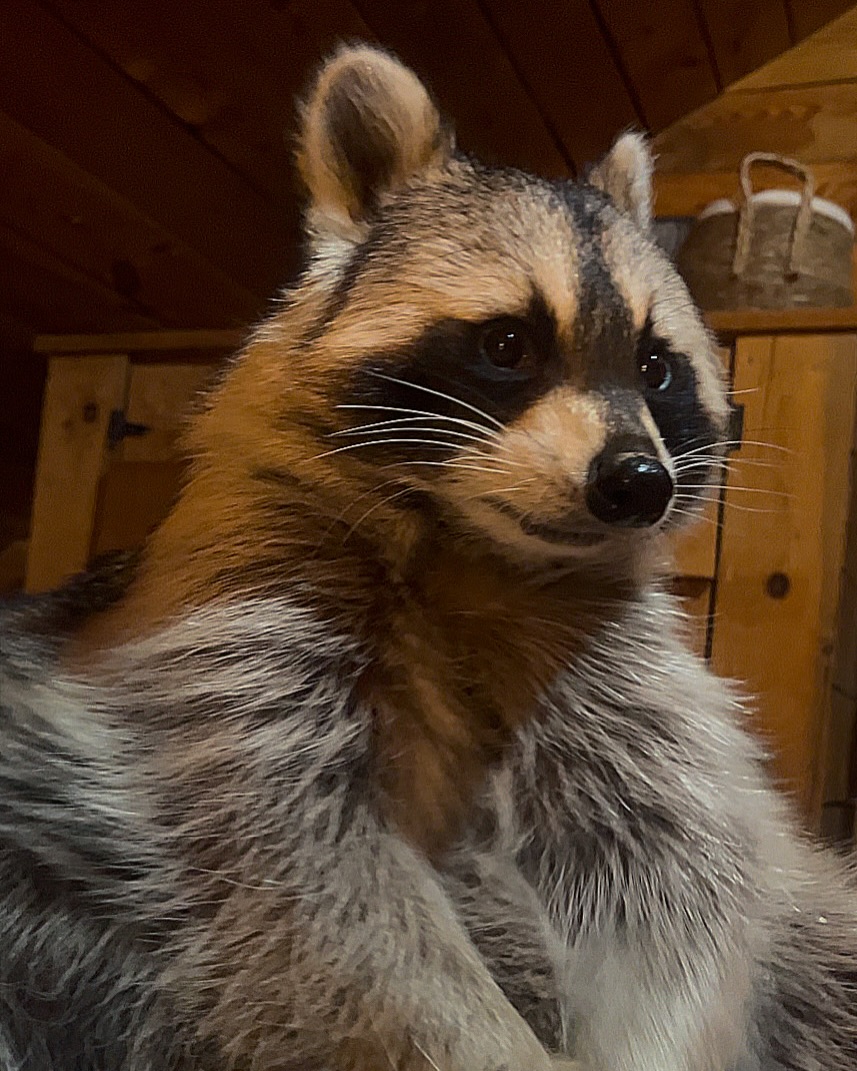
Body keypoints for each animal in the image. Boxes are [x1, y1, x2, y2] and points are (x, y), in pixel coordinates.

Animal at [2, 42, 856, 1071]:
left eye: (655, 367)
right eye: (507, 343)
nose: (636, 483)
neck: (477, 549)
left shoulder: (624, 689)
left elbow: (675, 876)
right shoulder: (235, 642)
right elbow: (307, 894)